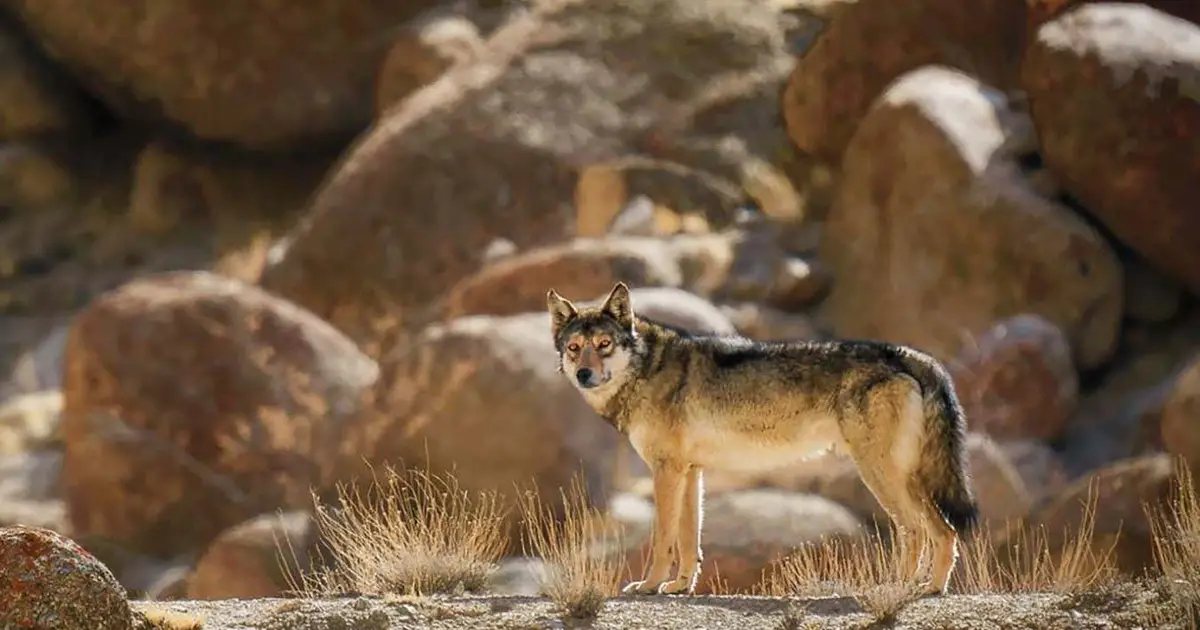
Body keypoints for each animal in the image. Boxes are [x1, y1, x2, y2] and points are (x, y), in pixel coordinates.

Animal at [546, 282, 978, 597]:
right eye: (574, 348)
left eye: (604, 345)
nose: (584, 374)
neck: (647, 368)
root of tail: (909, 355)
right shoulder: (690, 472)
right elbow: (688, 540)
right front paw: (679, 586)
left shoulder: (666, 471)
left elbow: (663, 537)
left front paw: (649, 586)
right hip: (904, 476)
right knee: (941, 531)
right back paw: (928, 587)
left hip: (880, 474)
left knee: (922, 530)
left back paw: (906, 588)